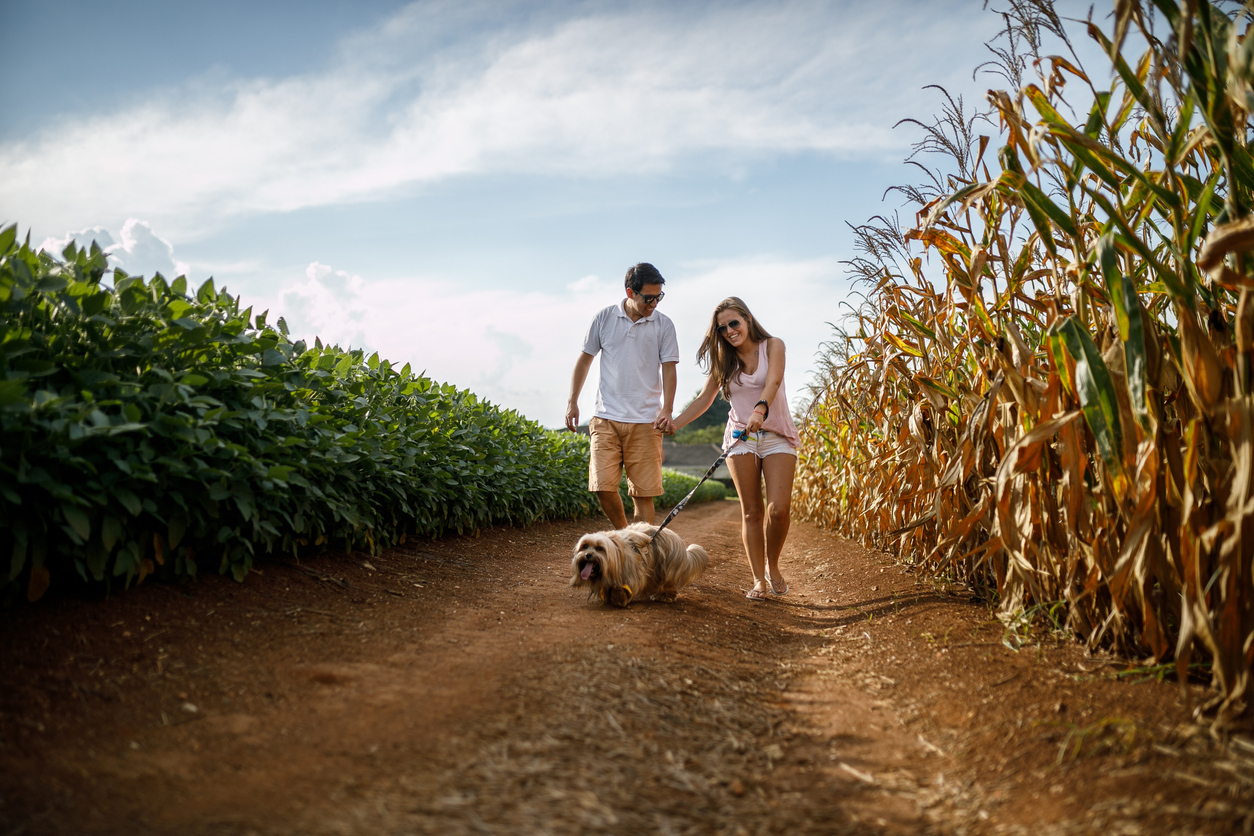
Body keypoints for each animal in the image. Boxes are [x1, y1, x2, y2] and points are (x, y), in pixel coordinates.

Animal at [569, 523, 707, 609]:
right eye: (585, 546)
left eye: (599, 548)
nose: (587, 555)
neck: (617, 555)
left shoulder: (632, 574)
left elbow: (626, 587)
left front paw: (619, 598)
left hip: (667, 569)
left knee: (669, 585)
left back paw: (665, 597)